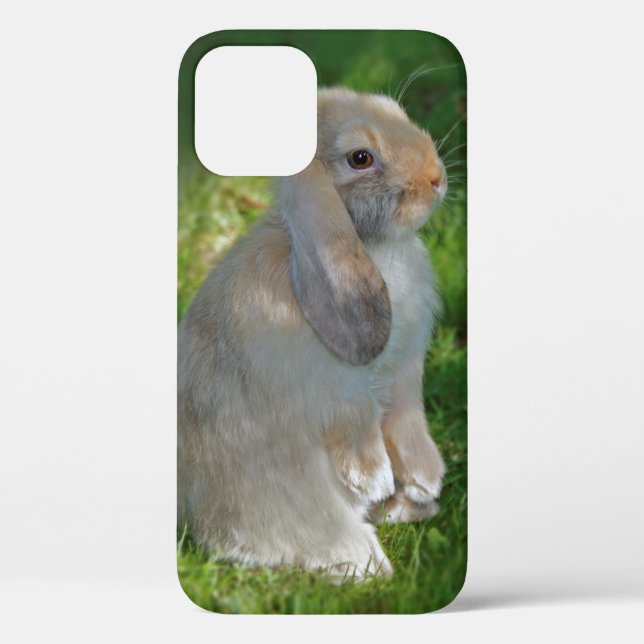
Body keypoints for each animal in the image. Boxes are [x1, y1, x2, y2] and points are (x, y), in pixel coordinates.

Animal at [178, 87, 447, 578]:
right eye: (360, 158)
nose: (436, 178)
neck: (373, 246)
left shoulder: (403, 373)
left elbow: (405, 416)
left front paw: (425, 480)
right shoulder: (337, 385)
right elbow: (356, 422)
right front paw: (374, 478)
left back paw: (407, 509)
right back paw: (366, 563)